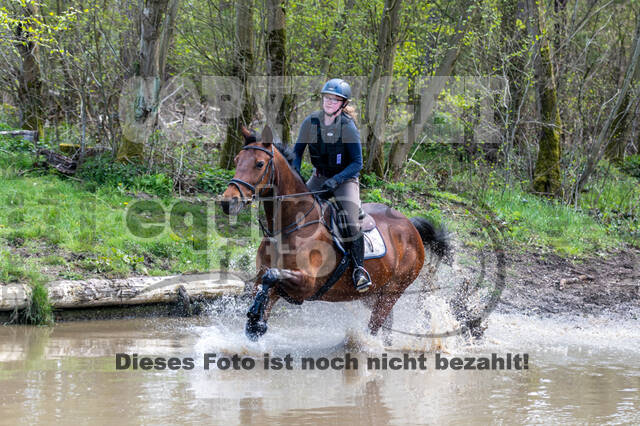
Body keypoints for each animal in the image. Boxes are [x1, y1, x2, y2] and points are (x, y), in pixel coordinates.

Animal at [220, 126, 450, 342]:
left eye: (259, 164)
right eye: (237, 160)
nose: (227, 202)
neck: (289, 226)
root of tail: (411, 227)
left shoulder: (305, 285)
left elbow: (272, 276)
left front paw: (256, 318)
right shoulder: (268, 281)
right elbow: (264, 286)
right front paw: (255, 320)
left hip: (393, 291)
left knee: (376, 326)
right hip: (373, 294)